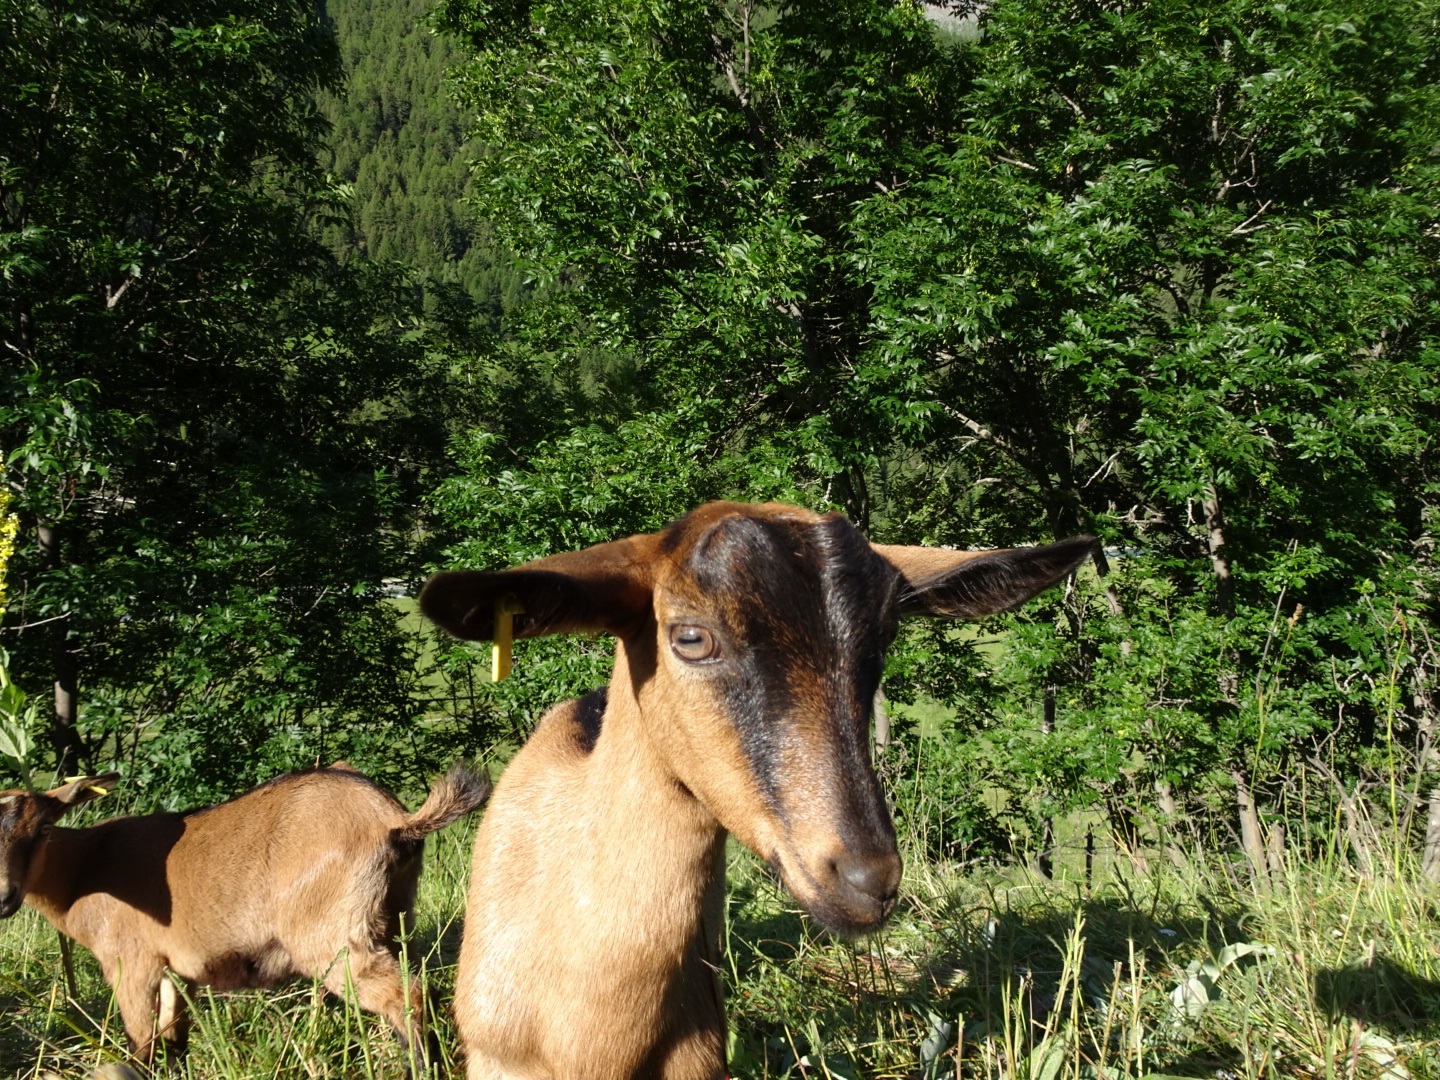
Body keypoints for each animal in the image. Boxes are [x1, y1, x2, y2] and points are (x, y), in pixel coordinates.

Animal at [0, 766, 489, 1071]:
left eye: (43, 829)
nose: (4, 897)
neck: (86, 869)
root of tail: (393, 820)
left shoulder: (131, 964)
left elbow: (142, 1047)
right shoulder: (175, 970)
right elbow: (173, 1041)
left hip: (332, 938)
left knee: (405, 995)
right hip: (397, 915)